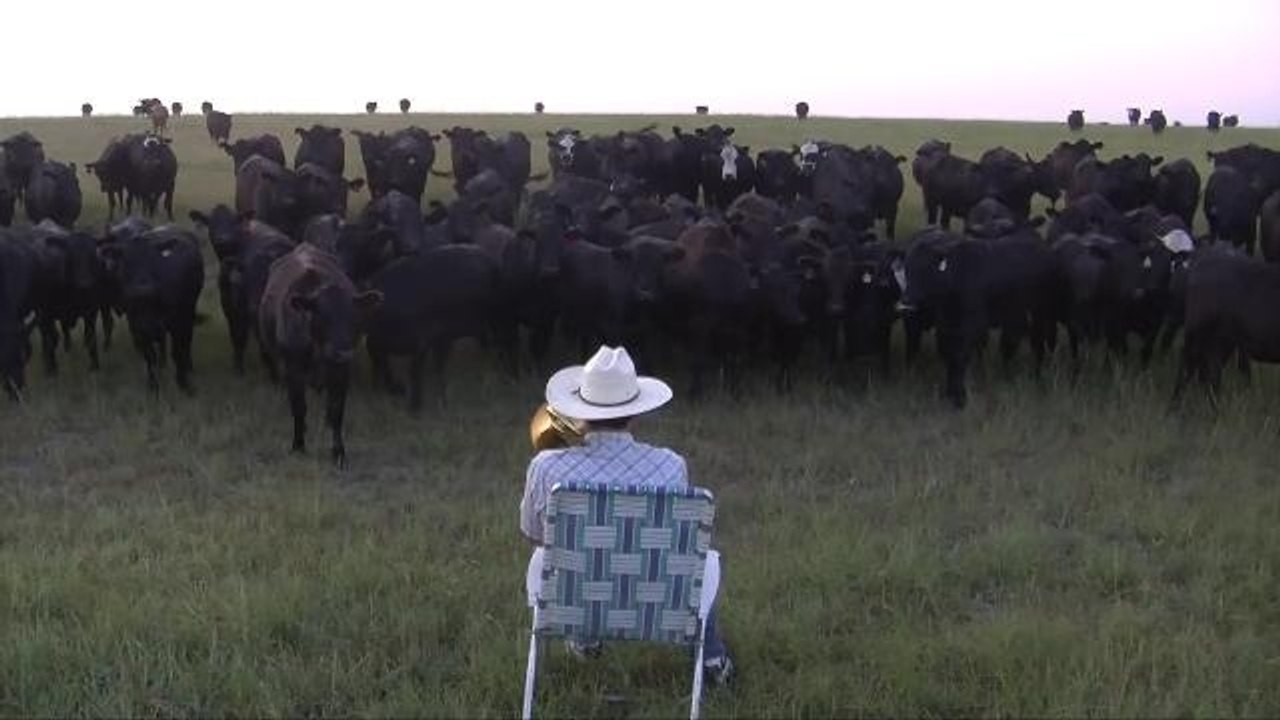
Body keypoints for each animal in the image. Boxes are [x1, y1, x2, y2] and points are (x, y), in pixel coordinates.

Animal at [97, 220, 204, 394]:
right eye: (125, 260)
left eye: (153, 257)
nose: (142, 289)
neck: (148, 305)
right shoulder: (139, 326)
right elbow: (149, 356)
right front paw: (153, 384)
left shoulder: (178, 322)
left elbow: (178, 353)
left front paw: (183, 383)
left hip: (189, 311)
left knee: (186, 343)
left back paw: (189, 365)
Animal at [257, 243, 382, 466]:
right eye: (322, 315)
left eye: (355, 317)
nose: (341, 352)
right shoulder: (293, 370)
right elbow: (299, 407)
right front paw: (298, 446)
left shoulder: (342, 371)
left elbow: (336, 410)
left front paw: (338, 452)